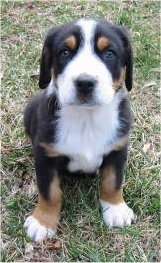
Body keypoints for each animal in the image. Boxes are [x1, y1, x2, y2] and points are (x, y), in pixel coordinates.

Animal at [23, 17, 135, 242]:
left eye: (109, 53)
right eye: (65, 52)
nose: (85, 83)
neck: (87, 118)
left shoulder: (118, 148)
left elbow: (113, 181)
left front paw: (116, 209)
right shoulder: (45, 154)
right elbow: (49, 191)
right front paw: (43, 221)